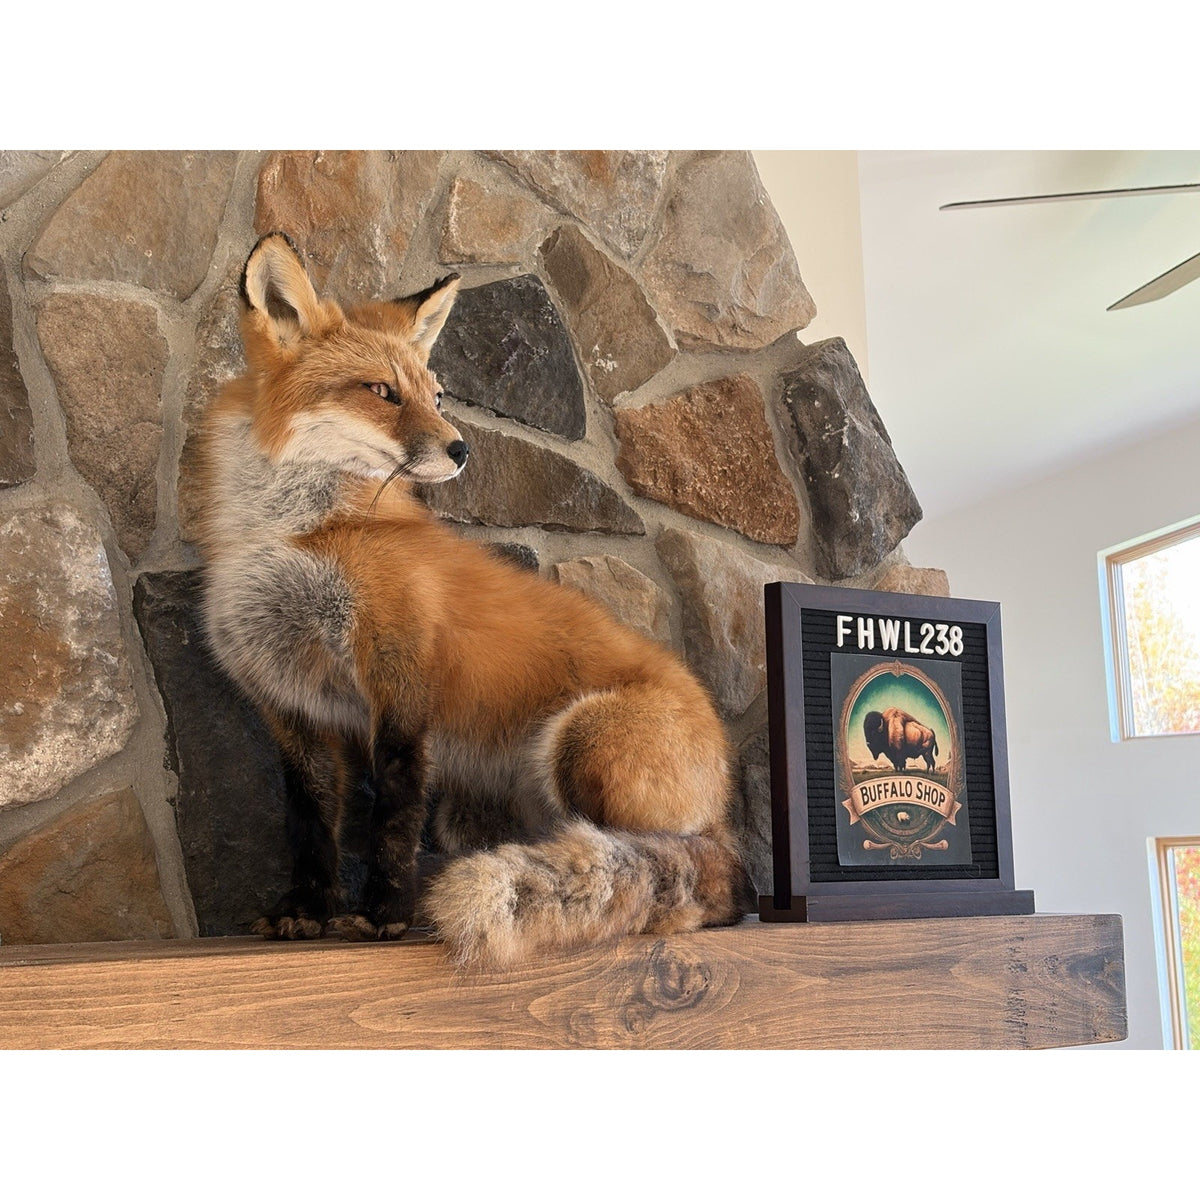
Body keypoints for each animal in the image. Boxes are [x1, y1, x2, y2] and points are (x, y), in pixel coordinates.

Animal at [193, 231, 753, 968]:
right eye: (381, 391)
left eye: (435, 395)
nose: (462, 450)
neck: (293, 533)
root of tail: (726, 801)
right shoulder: (289, 704)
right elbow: (310, 826)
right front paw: (306, 912)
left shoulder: (401, 680)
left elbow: (393, 817)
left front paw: (384, 916)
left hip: (581, 740)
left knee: (676, 868)